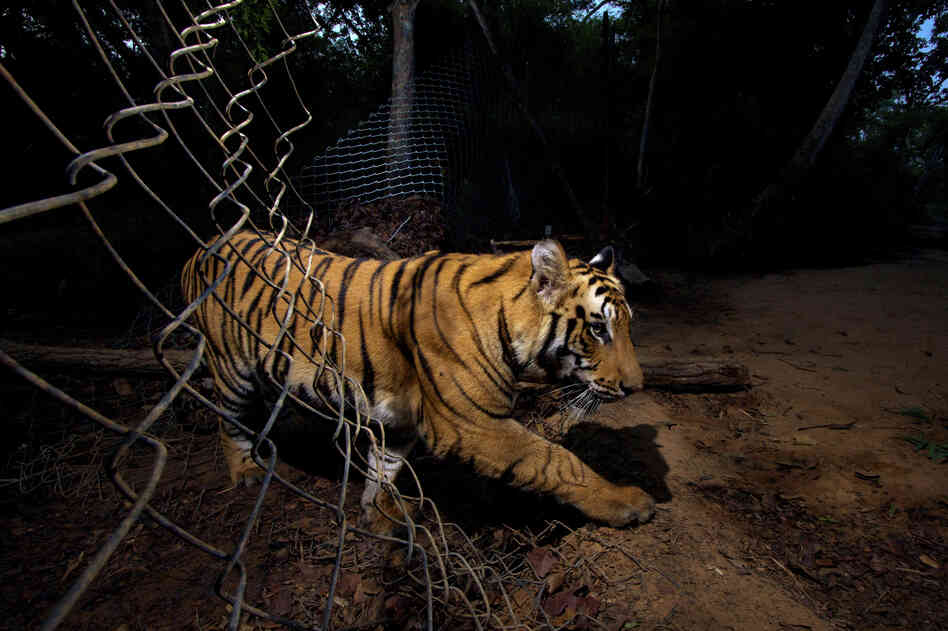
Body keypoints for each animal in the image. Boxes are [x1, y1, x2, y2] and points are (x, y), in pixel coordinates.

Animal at [181, 229, 655, 533]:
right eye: (598, 329)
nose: (636, 388)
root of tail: (201, 249)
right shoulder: (471, 424)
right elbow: (556, 460)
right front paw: (627, 502)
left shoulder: (401, 419)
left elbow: (385, 467)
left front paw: (378, 513)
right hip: (231, 368)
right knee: (228, 419)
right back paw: (245, 470)